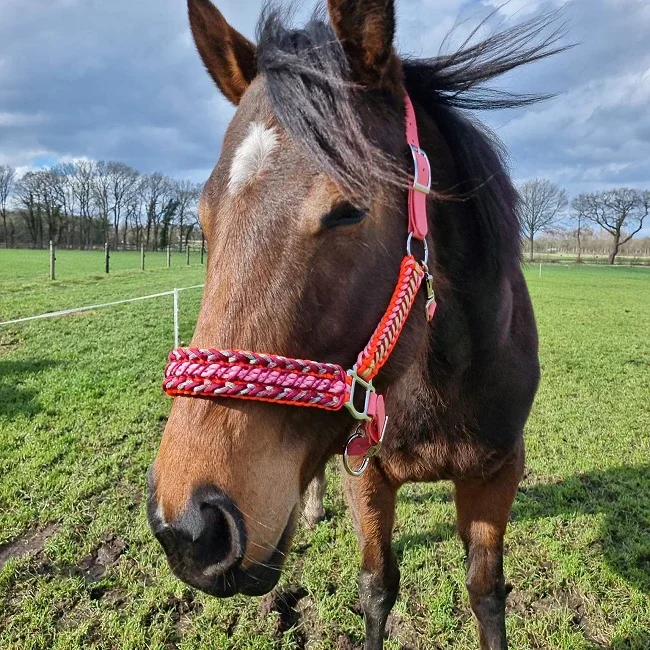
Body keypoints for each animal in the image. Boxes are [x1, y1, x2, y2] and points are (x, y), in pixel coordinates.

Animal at [148, 2, 560, 644]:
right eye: (204, 219)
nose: (189, 527)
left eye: (347, 210)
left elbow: (487, 593)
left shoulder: (498, 472)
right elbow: (377, 587)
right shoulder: (366, 474)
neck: (440, 379)